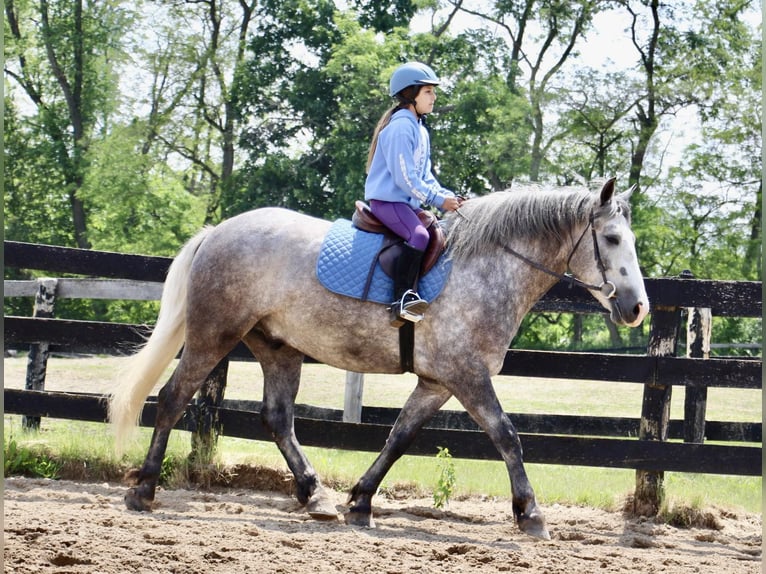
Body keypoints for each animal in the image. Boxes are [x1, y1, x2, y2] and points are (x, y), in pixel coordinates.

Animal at [109, 177, 648, 540]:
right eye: (613, 240)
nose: (637, 308)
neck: (487, 269)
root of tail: (217, 231)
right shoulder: (467, 375)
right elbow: (507, 436)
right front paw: (530, 513)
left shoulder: (437, 382)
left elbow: (398, 438)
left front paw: (361, 501)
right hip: (213, 334)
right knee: (173, 397)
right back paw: (144, 490)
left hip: (278, 348)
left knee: (278, 420)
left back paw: (316, 496)